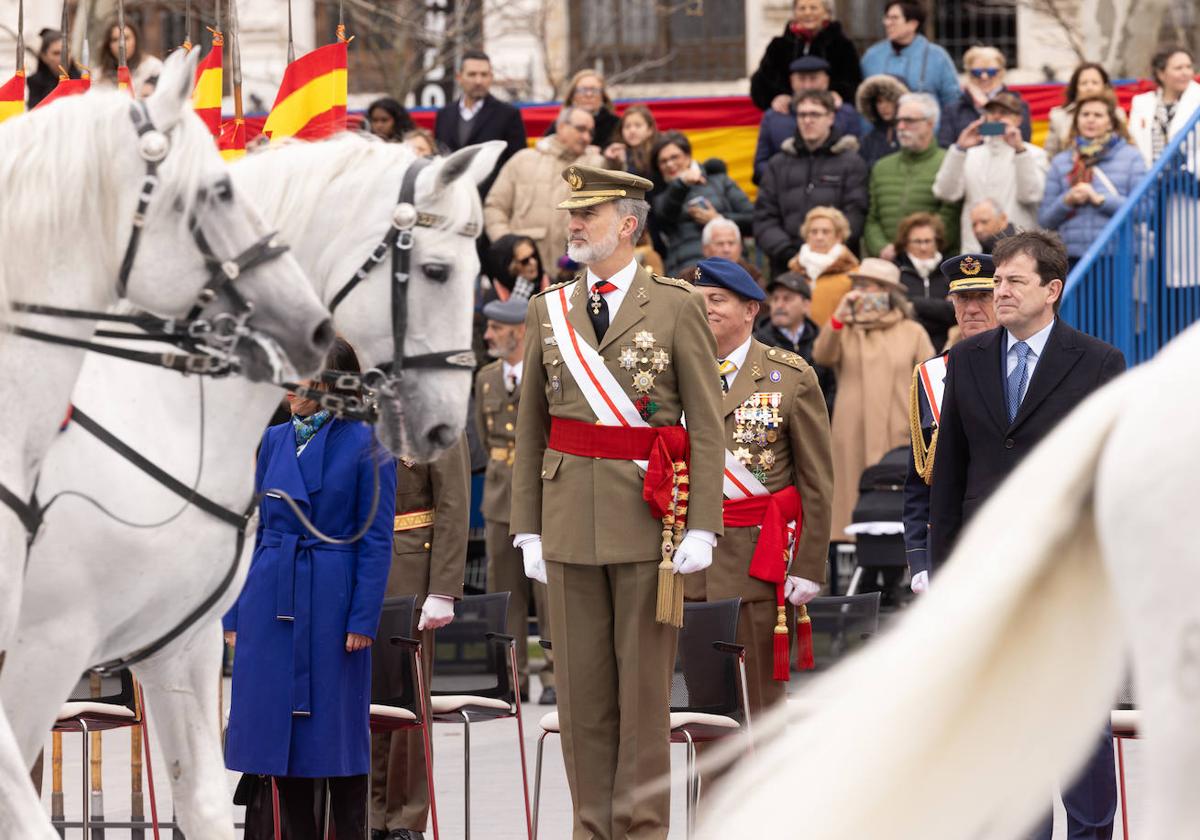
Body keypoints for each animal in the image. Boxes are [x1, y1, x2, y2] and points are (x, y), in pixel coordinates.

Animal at [3, 134, 501, 835]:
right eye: (436, 271)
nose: (444, 427)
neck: (163, 405)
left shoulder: (180, 642)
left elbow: (206, 804)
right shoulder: (47, 644)